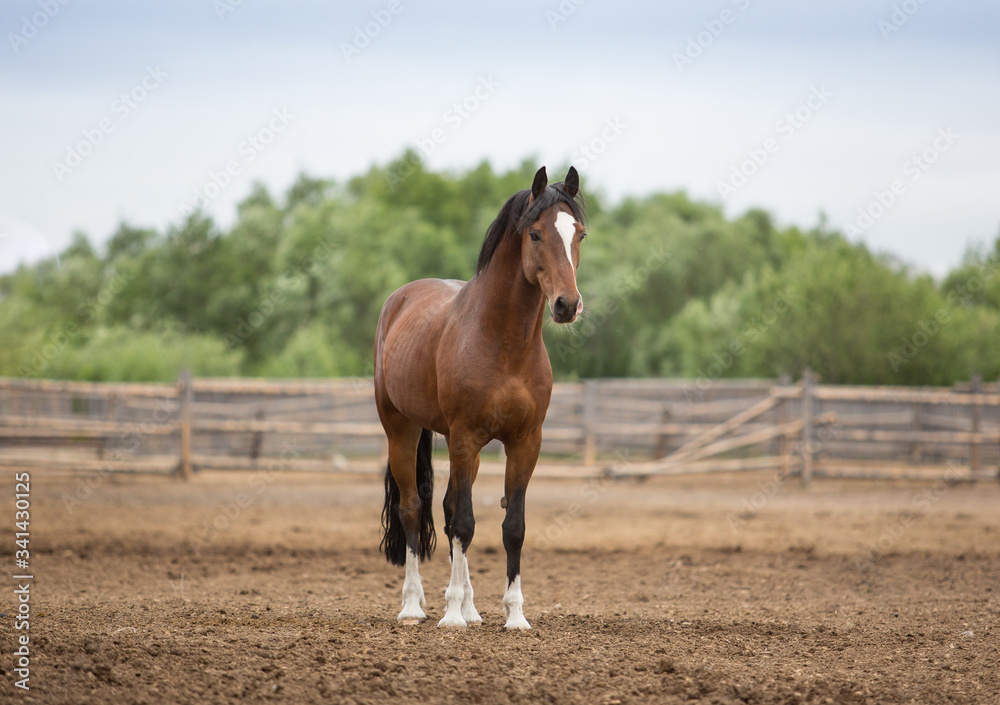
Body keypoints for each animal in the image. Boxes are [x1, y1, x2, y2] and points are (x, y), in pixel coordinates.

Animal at [373, 166, 586, 629]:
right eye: (536, 234)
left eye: (578, 233)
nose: (567, 305)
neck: (504, 344)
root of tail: (399, 299)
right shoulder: (466, 437)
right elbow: (465, 524)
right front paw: (450, 615)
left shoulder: (525, 443)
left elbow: (511, 527)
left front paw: (514, 615)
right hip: (402, 429)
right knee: (413, 508)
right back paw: (414, 606)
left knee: (449, 509)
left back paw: (471, 608)